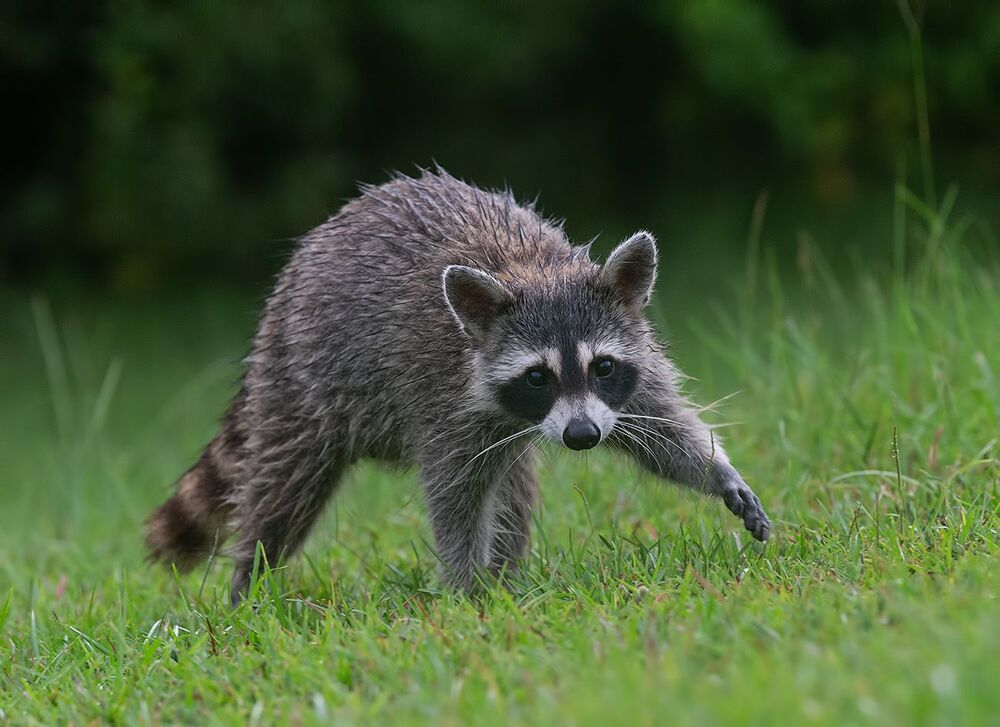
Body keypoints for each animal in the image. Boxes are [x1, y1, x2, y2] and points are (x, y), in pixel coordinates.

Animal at [145, 169, 770, 604]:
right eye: (537, 376)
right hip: (300, 380)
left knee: (514, 489)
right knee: (284, 487)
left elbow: (658, 430)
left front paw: (716, 470)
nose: (582, 436)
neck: (535, 270)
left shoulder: (626, 372)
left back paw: (510, 576)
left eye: (603, 367)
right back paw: (250, 583)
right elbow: (455, 497)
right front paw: (469, 592)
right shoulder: (441, 397)